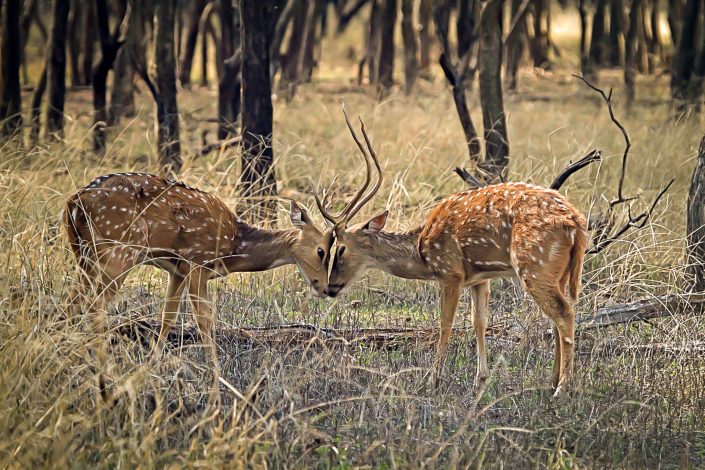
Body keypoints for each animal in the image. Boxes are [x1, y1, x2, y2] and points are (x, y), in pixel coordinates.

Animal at [63, 172, 338, 385]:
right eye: (321, 250)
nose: (325, 288)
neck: (234, 246)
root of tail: (73, 202)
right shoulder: (196, 262)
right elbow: (205, 320)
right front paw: (215, 375)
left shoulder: (177, 270)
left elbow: (168, 317)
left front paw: (152, 367)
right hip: (117, 253)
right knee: (95, 306)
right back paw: (103, 370)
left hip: (85, 256)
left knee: (72, 303)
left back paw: (72, 359)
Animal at [316, 112, 588, 396]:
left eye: (341, 248)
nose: (330, 286)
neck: (422, 252)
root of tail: (577, 224)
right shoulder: (480, 278)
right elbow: (478, 321)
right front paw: (481, 381)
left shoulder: (450, 272)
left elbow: (445, 322)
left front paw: (432, 380)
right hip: (558, 272)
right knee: (558, 316)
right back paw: (551, 381)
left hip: (535, 264)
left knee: (564, 313)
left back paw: (562, 387)